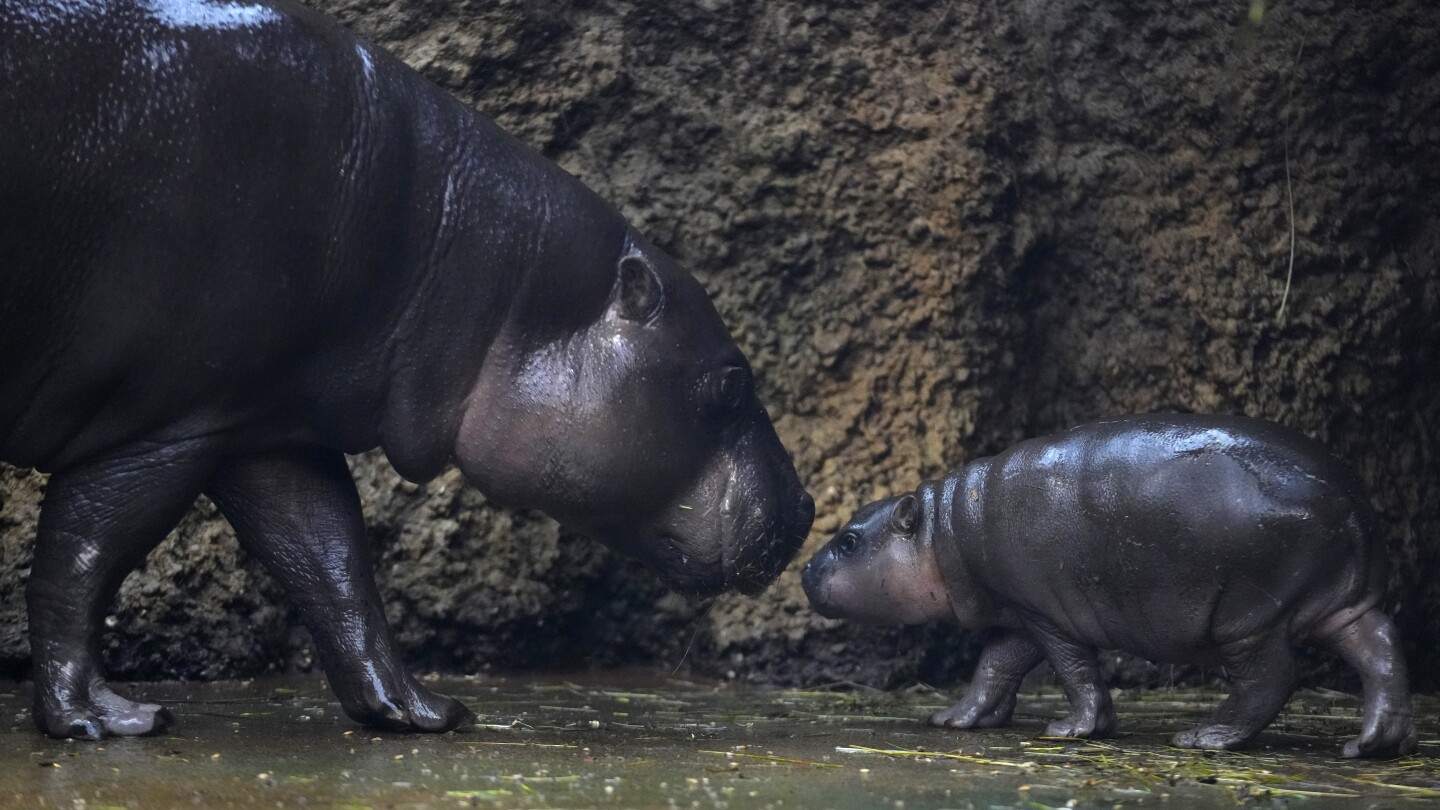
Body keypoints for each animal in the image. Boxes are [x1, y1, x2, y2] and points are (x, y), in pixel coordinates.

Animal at [0, 0, 812, 743]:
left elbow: (332, 562)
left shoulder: (264, 422)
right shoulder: (166, 423)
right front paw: (101, 720)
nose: (806, 507)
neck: (468, 256)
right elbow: (81, 559)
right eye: (731, 383)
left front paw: (425, 713)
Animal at [800, 412, 1416, 755]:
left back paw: (1203, 738)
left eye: (849, 540)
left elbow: (1074, 670)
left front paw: (1072, 730)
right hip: (1341, 603)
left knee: (1271, 677)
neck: (946, 527)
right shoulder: (1019, 612)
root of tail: (1351, 500)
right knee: (1381, 650)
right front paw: (955, 720)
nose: (804, 569)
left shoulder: (1046, 612)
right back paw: (1373, 745)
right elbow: (995, 666)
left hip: (1247, 615)